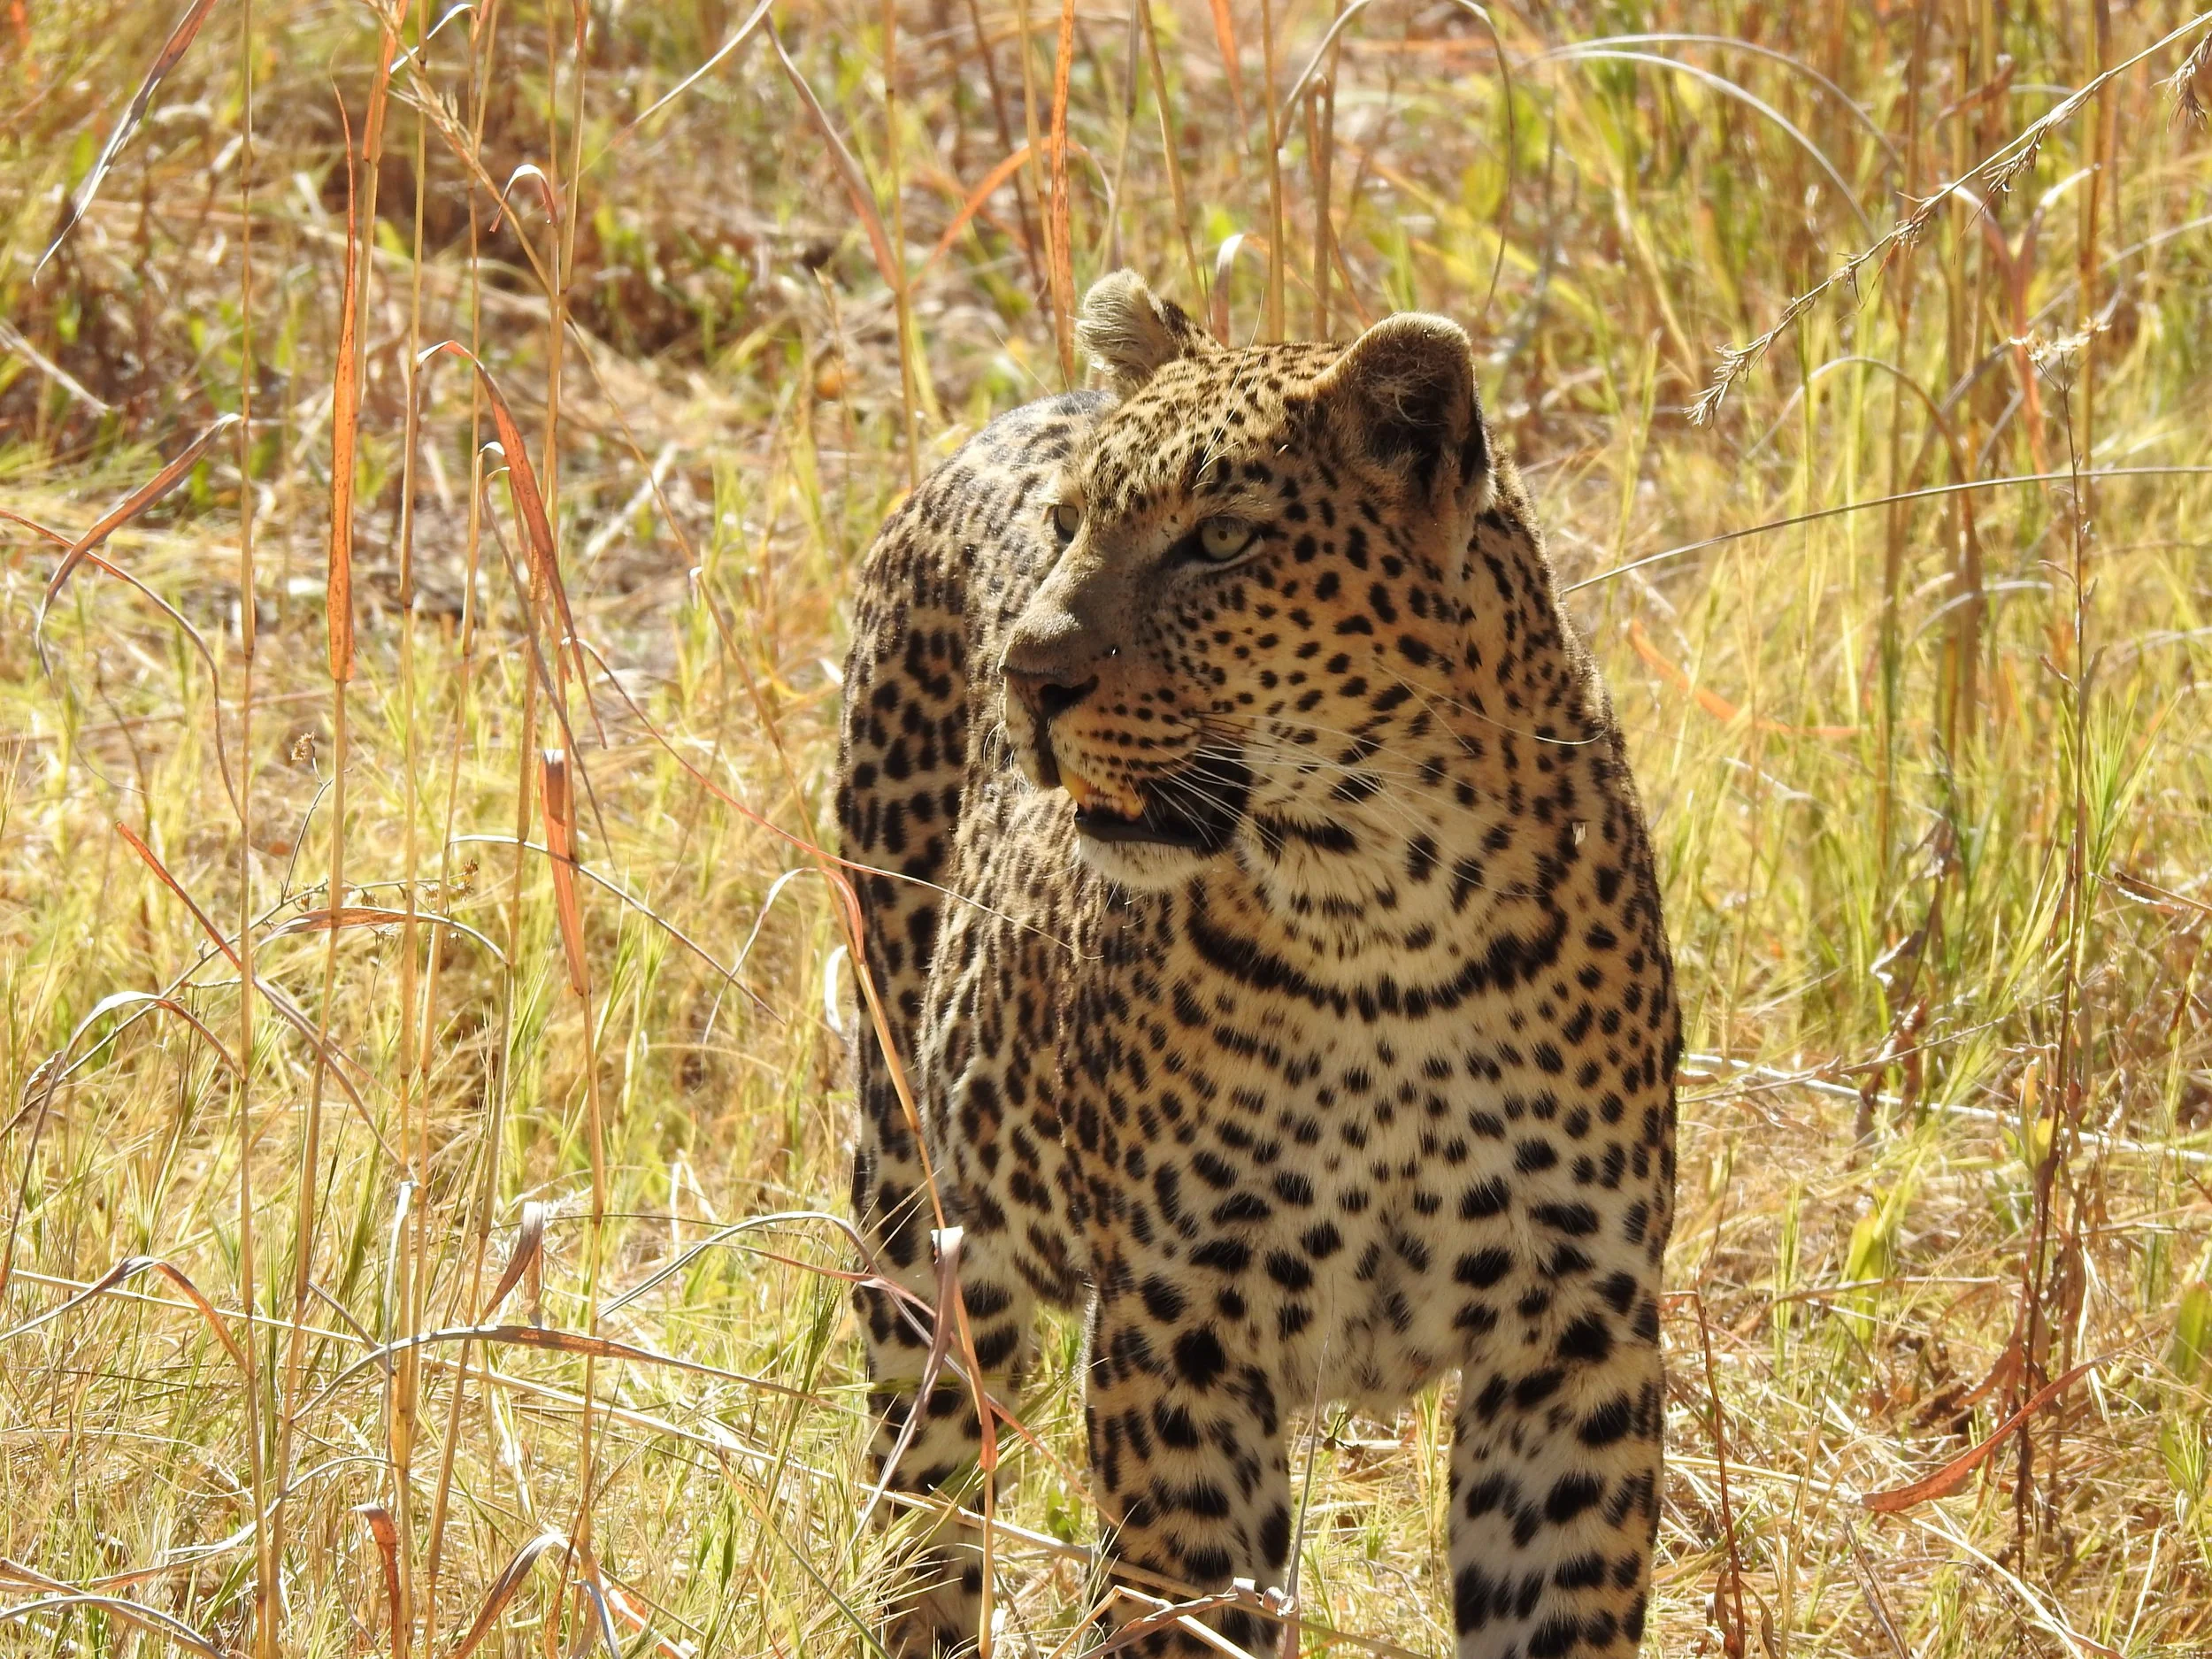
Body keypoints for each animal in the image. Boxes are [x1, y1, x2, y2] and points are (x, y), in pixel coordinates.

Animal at [836, 270, 1679, 1659]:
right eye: (1068, 524)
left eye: (1221, 541)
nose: (1027, 676)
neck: (1385, 913)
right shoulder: (1180, 1324)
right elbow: (1188, 1605)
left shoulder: (1575, 1330)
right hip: (916, 1189)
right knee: (927, 1487)